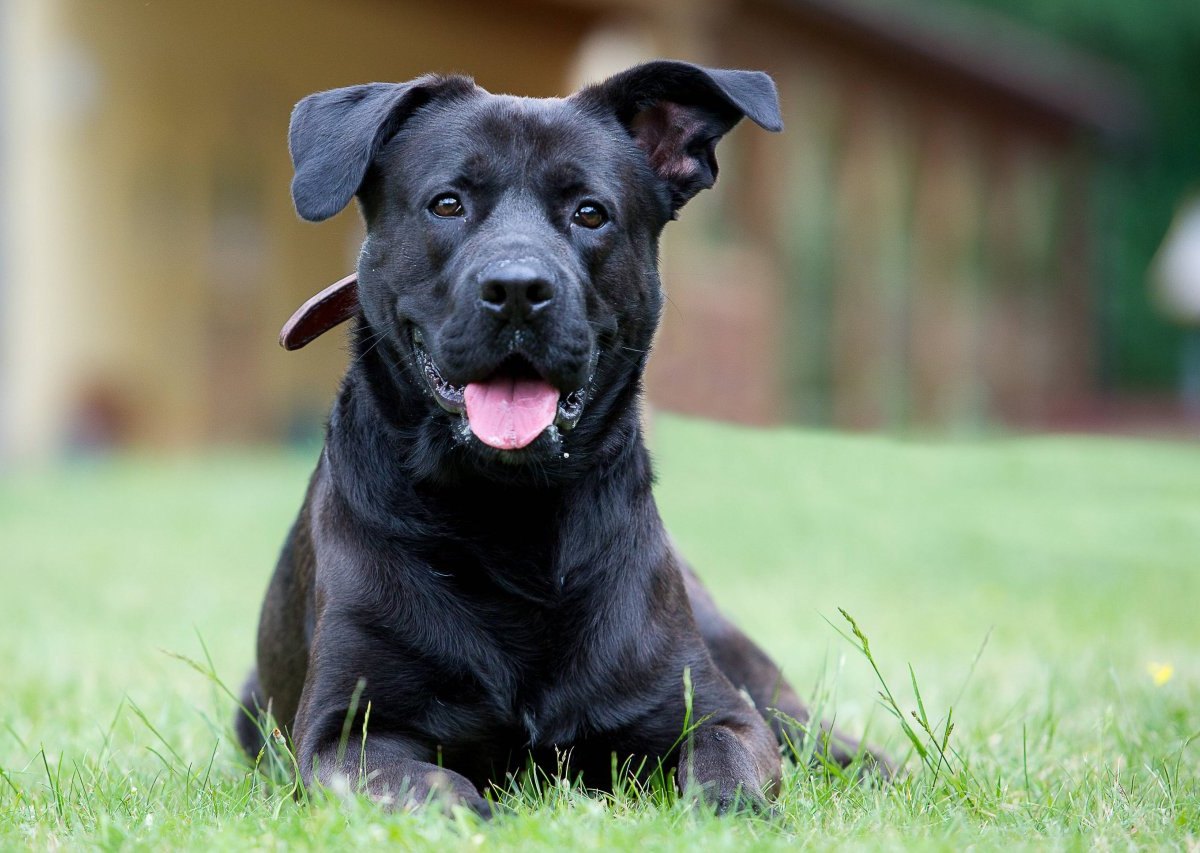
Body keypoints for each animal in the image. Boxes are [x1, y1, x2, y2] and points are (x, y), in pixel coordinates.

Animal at [238, 56, 888, 815]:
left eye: (590, 213)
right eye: (448, 204)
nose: (518, 289)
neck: (509, 517)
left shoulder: (714, 710)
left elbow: (726, 771)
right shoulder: (344, 733)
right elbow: (436, 789)